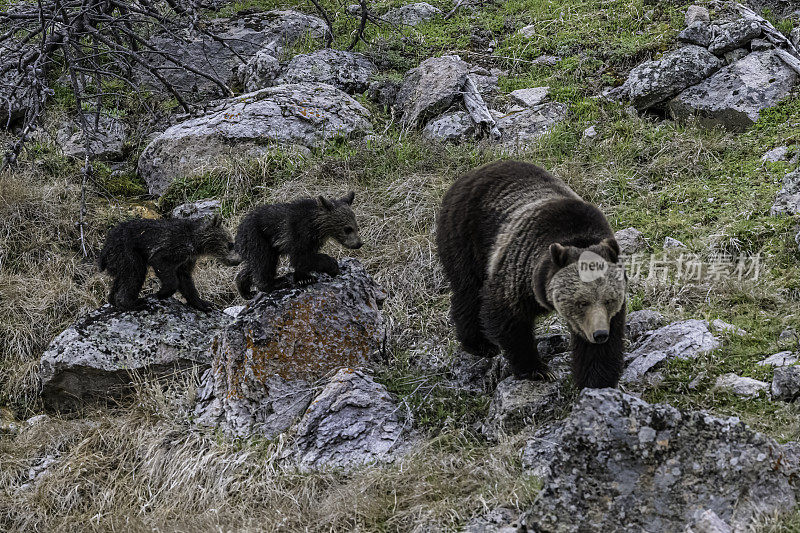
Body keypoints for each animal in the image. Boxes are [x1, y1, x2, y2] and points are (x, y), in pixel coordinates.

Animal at [438, 158, 624, 386]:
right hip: (466, 237)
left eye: (609, 300)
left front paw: (596, 381)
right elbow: (507, 317)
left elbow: (602, 348)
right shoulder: (520, 269)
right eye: (581, 302)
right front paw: (538, 369)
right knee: (469, 292)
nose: (599, 334)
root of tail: (469, 174)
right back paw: (479, 343)